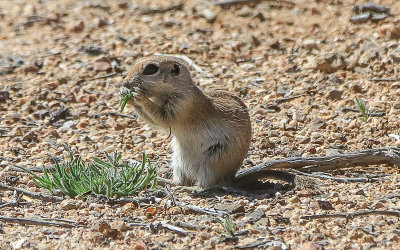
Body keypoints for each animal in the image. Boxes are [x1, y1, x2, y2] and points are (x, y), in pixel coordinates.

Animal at [120, 54, 296, 188]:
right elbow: (153, 121)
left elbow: (162, 118)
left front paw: (138, 96)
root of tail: (231, 178)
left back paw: (191, 189)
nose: (125, 82)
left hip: (212, 161)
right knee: (183, 181)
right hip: (178, 162)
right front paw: (126, 95)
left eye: (151, 69)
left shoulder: (183, 106)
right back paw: (164, 181)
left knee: (208, 185)